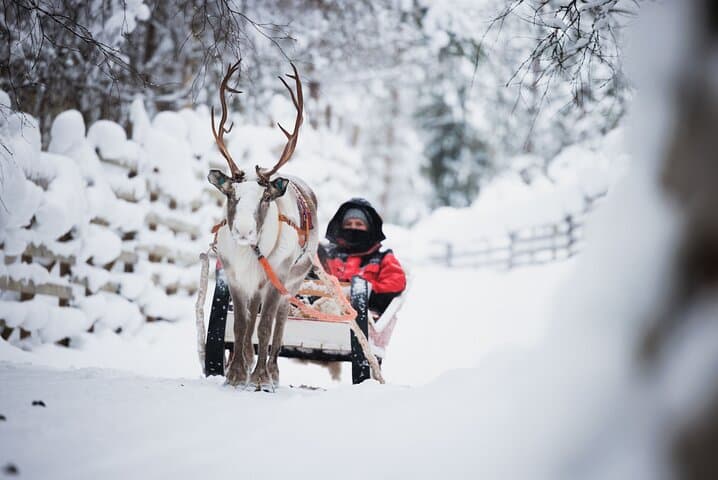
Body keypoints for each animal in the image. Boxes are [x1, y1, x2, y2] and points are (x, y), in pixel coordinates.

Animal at [207, 60, 318, 391]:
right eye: (230, 194)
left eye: (265, 197)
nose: (243, 231)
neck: (249, 254)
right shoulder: (235, 278)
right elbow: (242, 325)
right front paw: (235, 374)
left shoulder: (274, 279)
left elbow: (265, 327)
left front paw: (260, 378)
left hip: (292, 283)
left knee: (279, 323)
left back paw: (272, 371)